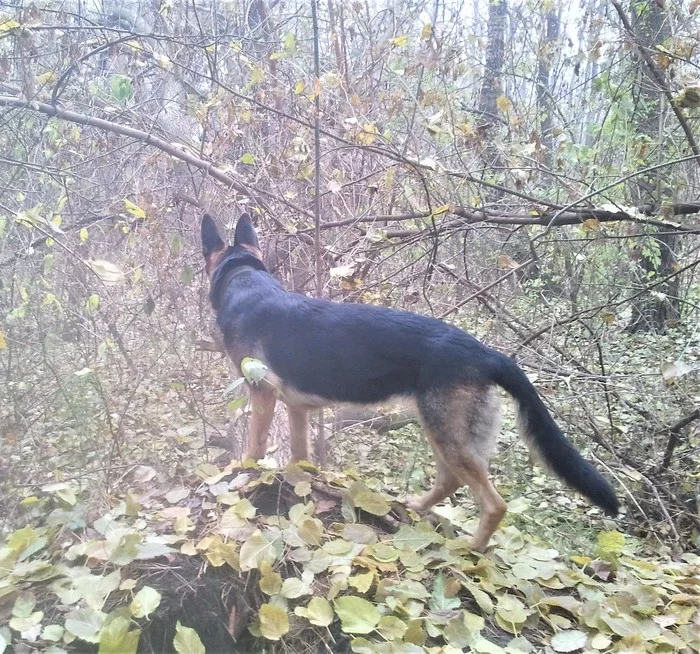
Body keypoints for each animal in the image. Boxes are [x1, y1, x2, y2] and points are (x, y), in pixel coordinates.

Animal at [202, 213, 616, 552]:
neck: (244, 278)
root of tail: (489, 354)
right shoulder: (297, 407)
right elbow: (301, 459)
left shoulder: (262, 394)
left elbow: (254, 447)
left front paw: (243, 476)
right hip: (442, 429)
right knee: (450, 482)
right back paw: (414, 508)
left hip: (445, 431)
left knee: (494, 504)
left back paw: (470, 550)